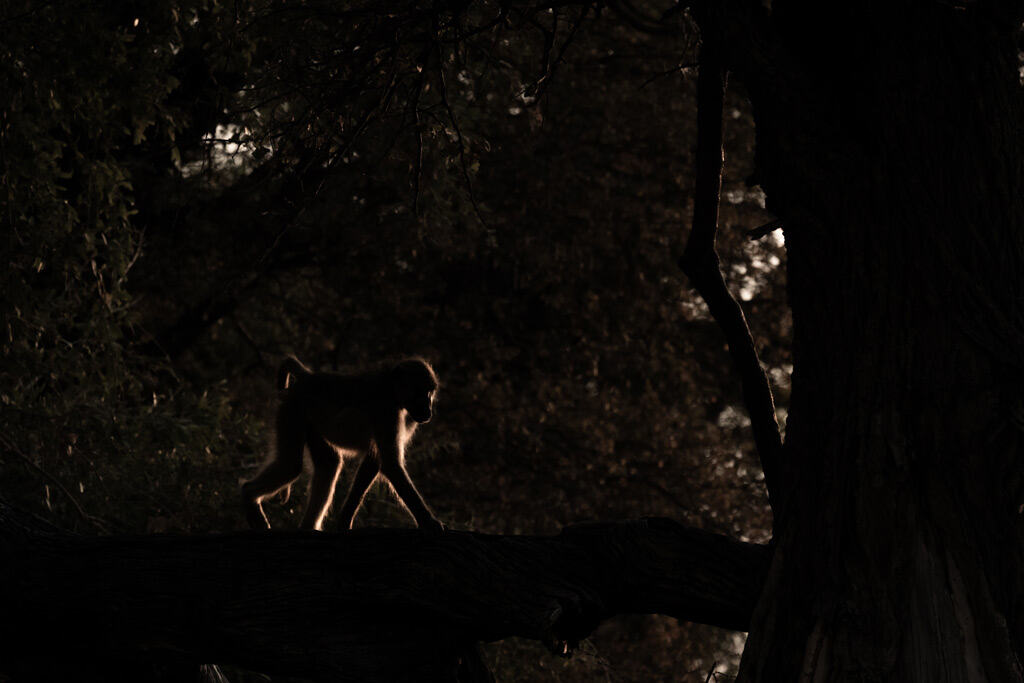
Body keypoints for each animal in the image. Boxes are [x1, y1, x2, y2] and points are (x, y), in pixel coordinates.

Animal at [241, 356, 445, 533]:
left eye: (430, 393)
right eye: (422, 391)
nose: (428, 410)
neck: (390, 388)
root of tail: (309, 377)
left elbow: (373, 461)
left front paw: (344, 520)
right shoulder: (385, 411)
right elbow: (391, 465)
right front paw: (429, 522)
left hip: (310, 420)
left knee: (328, 464)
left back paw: (308, 527)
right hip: (293, 410)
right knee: (291, 465)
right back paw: (249, 495)